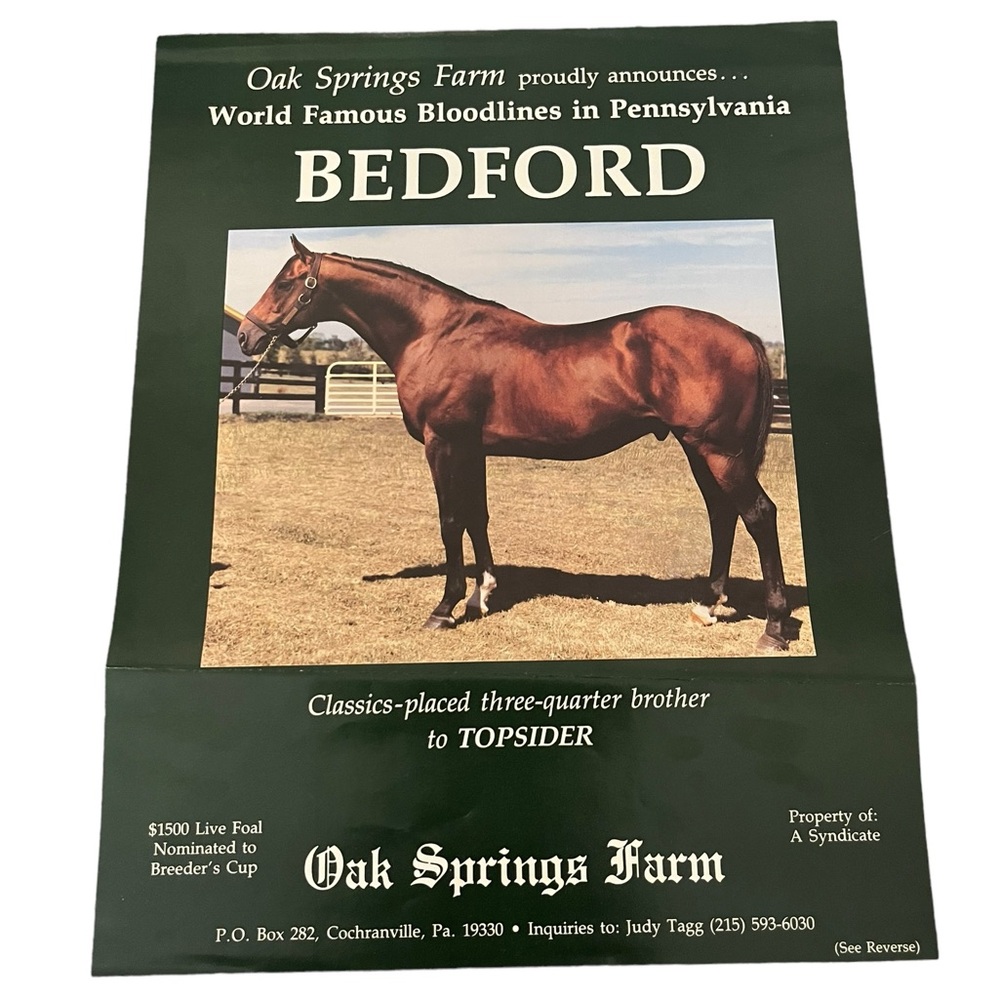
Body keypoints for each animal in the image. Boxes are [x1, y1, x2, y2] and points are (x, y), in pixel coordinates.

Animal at [237, 235, 790, 651]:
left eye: (286, 281)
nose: (245, 335)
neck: (434, 334)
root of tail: (743, 334)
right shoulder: (472, 449)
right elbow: (477, 516)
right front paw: (482, 595)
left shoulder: (443, 445)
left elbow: (451, 520)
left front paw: (445, 607)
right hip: (701, 450)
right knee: (721, 515)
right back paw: (707, 606)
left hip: (719, 451)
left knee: (758, 515)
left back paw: (774, 628)